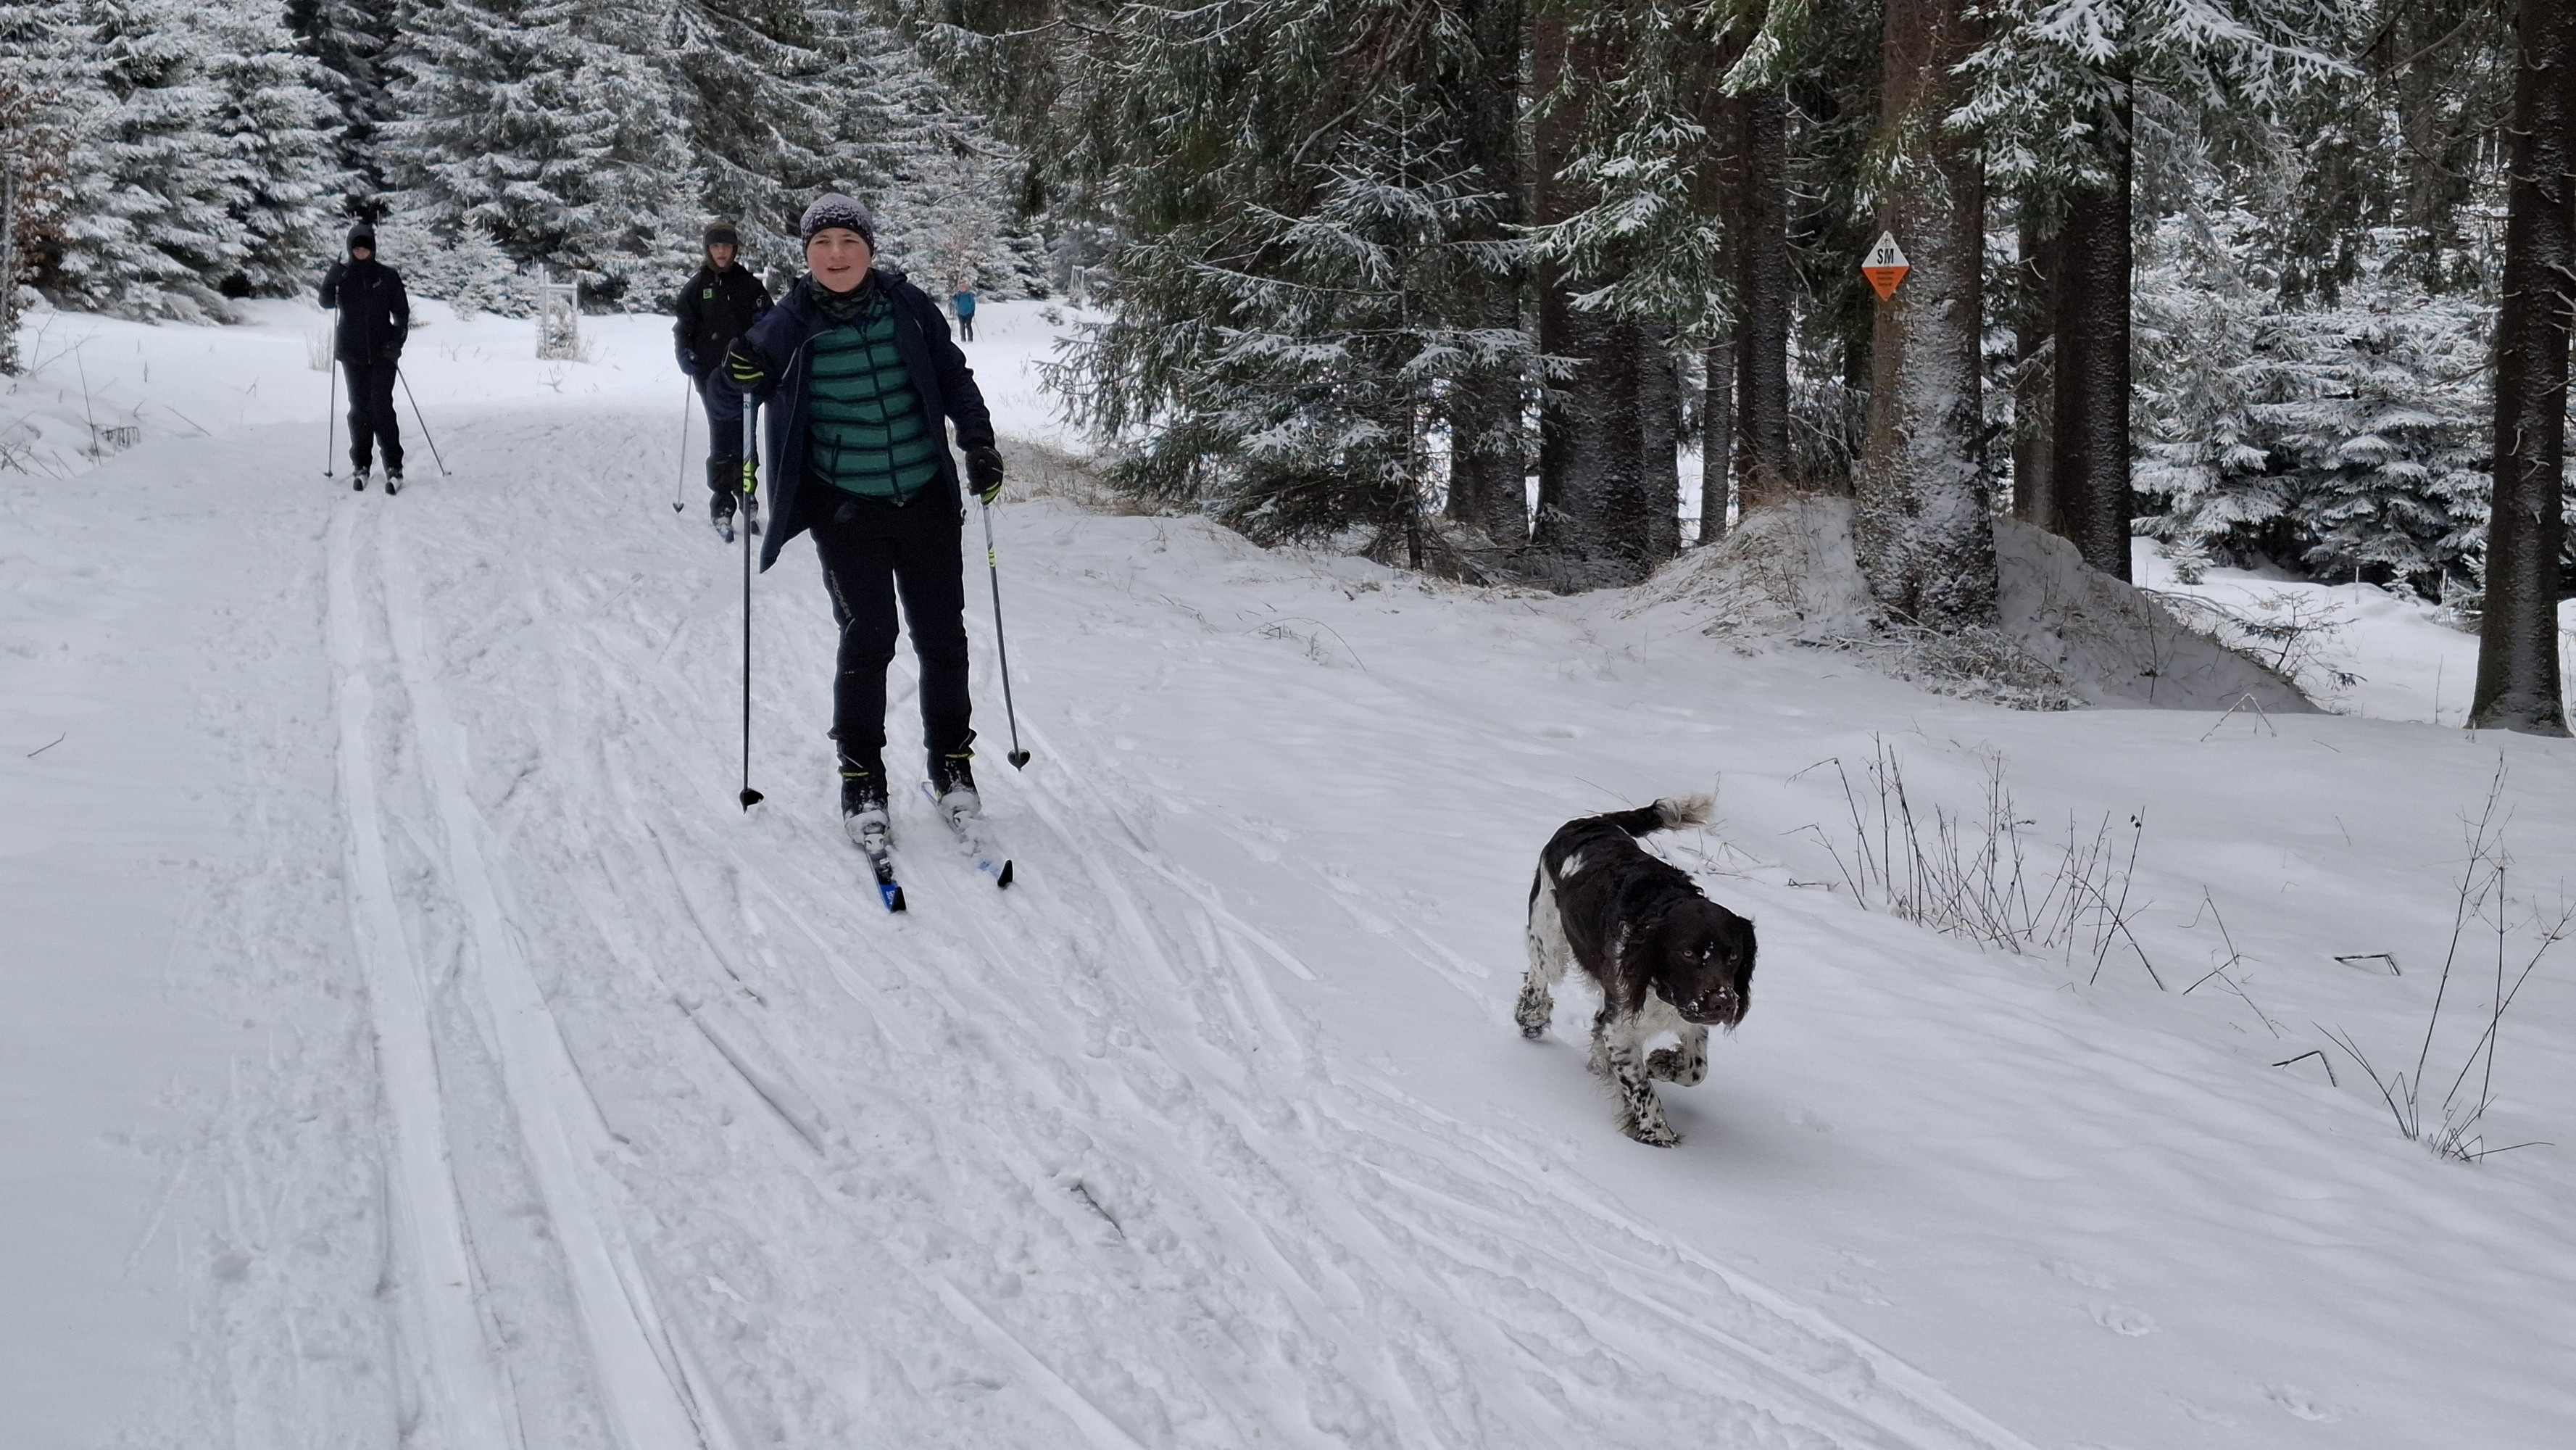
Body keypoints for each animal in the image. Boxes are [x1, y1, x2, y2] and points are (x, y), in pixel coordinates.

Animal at [1516, 796, 1756, 1146]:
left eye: (1734, 956)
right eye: (1687, 953)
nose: (1723, 1004)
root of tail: (1592, 821)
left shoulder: (1687, 1018)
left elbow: (1696, 1069)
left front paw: (1663, 1064)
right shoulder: (1623, 1027)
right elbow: (1640, 1087)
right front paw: (1656, 1131)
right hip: (1548, 937)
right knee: (1539, 976)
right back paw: (1531, 1018)